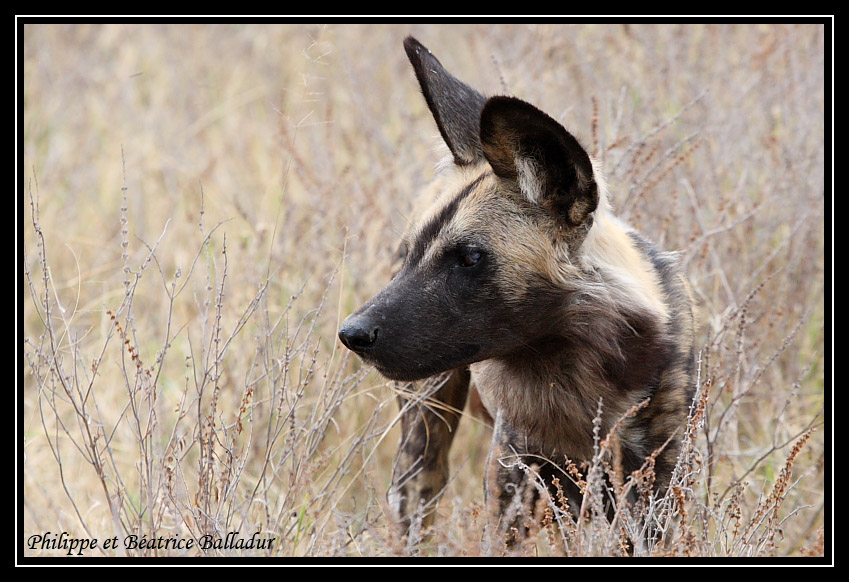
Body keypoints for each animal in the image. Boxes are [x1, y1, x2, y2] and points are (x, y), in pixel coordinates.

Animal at [338, 37, 696, 544]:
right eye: (410, 253)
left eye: (469, 256)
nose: (352, 333)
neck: (572, 375)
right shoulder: (513, 488)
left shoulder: (652, 495)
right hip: (424, 438)